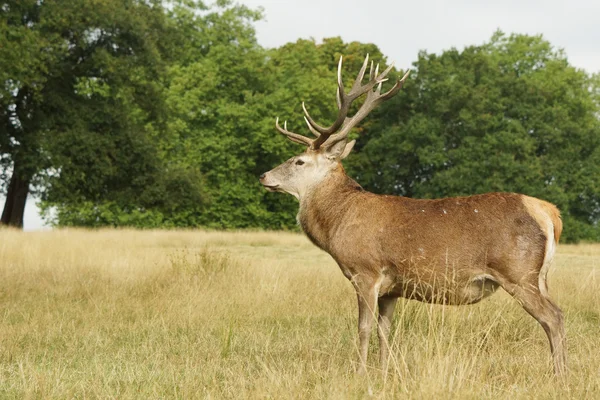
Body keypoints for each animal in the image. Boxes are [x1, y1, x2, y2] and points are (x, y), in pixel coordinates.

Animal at [258, 54, 568, 376]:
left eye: (299, 161)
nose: (263, 175)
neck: (337, 225)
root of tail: (549, 212)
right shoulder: (392, 288)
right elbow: (385, 330)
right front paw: (383, 372)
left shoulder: (366, 271)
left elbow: (363, 328)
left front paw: (360, 373)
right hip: (541, 276)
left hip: (518, 272)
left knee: (554, 317)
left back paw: (559, 375)